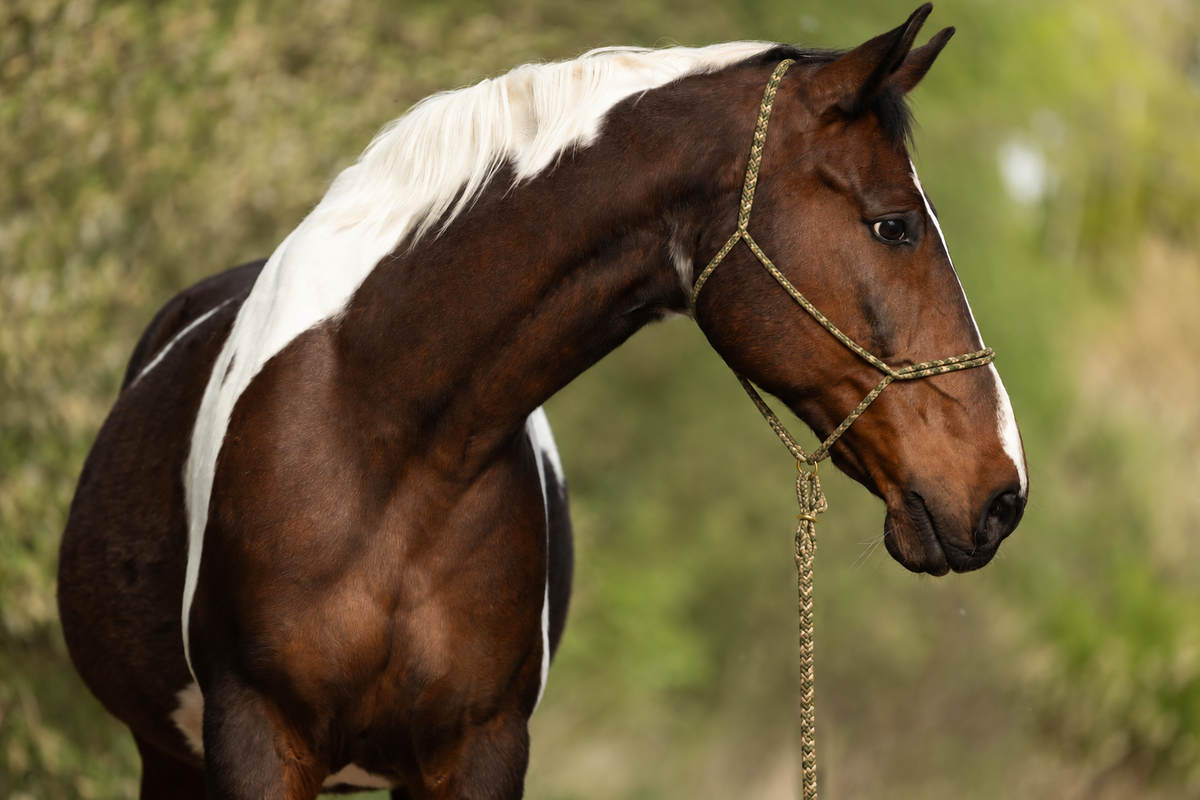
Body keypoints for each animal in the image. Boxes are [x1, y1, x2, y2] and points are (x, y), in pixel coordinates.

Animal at [57, 5, 1027, 798]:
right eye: (893, 224)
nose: (1002, 494)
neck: (384, 442)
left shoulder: (480, 750)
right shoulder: (255, 739)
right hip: (169, 758)